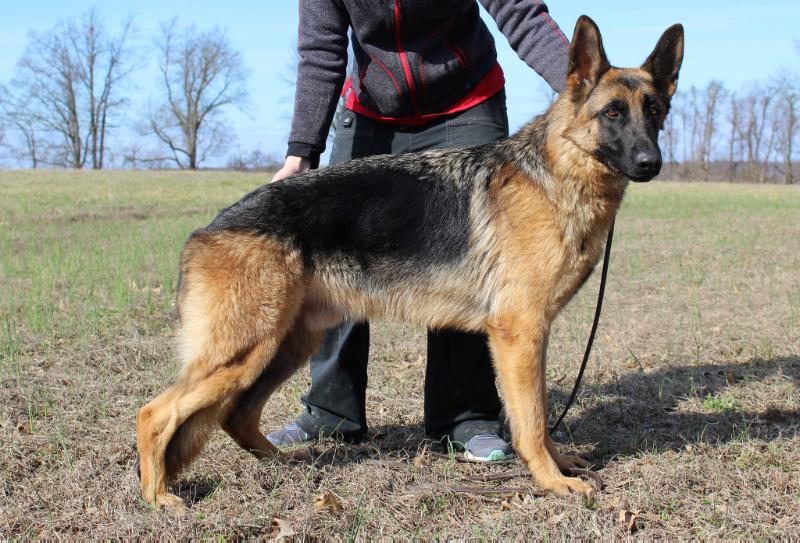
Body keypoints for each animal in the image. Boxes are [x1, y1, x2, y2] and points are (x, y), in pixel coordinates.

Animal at [136, 18, 680, 510]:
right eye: (612, 113)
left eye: (654, 111)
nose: (651, 163)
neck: (557, 172)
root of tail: (207, 229)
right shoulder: (520, 333)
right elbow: (533, 419)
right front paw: (551, 480)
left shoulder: (531, 337)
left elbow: (540, 415)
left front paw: (560, 464)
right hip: (244, 349)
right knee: (155, 413)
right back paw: (158, 497)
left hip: (281, 346)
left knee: (237, 415)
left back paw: (284, 463)